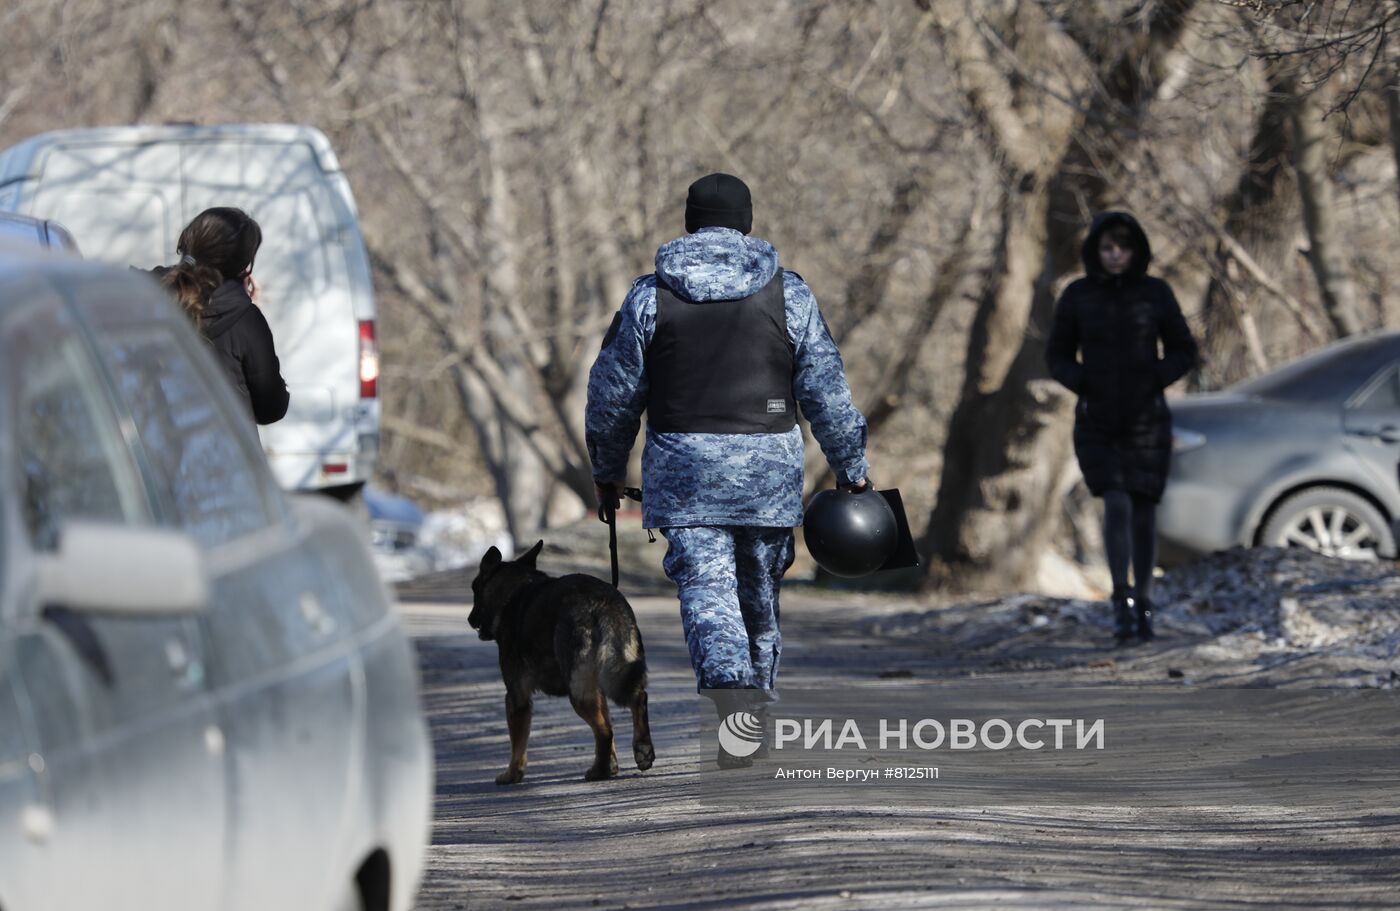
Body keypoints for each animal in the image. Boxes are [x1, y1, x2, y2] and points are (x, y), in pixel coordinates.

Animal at [464, 542, 649, 783]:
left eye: (475, 589)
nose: (469, 619)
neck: (514, 591)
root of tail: (600, 603)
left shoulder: (516, 697)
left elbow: (518, 744)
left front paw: (512, 774)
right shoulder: (597, 688)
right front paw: (612, 764)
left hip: (578, 693)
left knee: (604, 730)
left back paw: (599, 771)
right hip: (608, 676)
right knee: (637, 700)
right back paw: (641, 749)